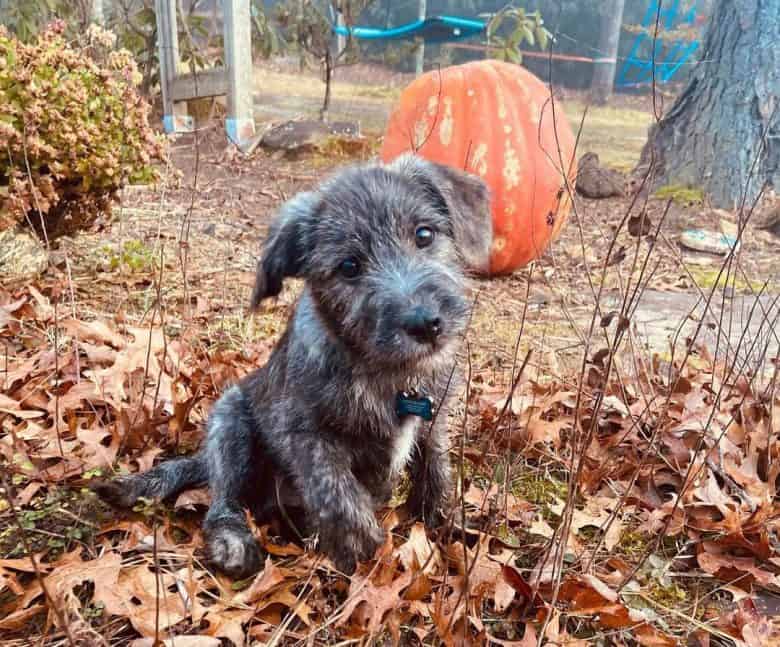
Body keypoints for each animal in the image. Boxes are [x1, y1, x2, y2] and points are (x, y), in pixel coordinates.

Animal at [94, 156, 490, 576]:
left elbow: (436, 472)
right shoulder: (303, 432)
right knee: (223, 498)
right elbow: (335, 489)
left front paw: (445, 525)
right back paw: (231, 540)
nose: (425, 324)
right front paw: (358, 547)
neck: (391, 372)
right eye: (349, 266)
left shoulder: (434, 422)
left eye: (424, 234)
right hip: (230, 421)